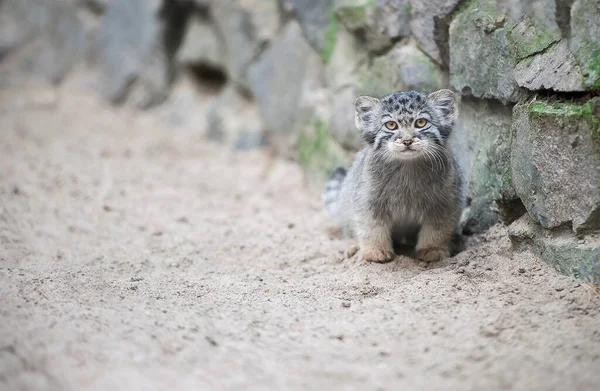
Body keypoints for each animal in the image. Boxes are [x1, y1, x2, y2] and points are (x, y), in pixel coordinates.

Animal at [324, 89, 464, 264]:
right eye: (391, 125)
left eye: (421, 122)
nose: (407, 141)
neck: (408, 168)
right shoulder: (367, 200)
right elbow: (371, 226)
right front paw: (376, 250)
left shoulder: (445, 202)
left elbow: (437, 228)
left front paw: (432, 249)